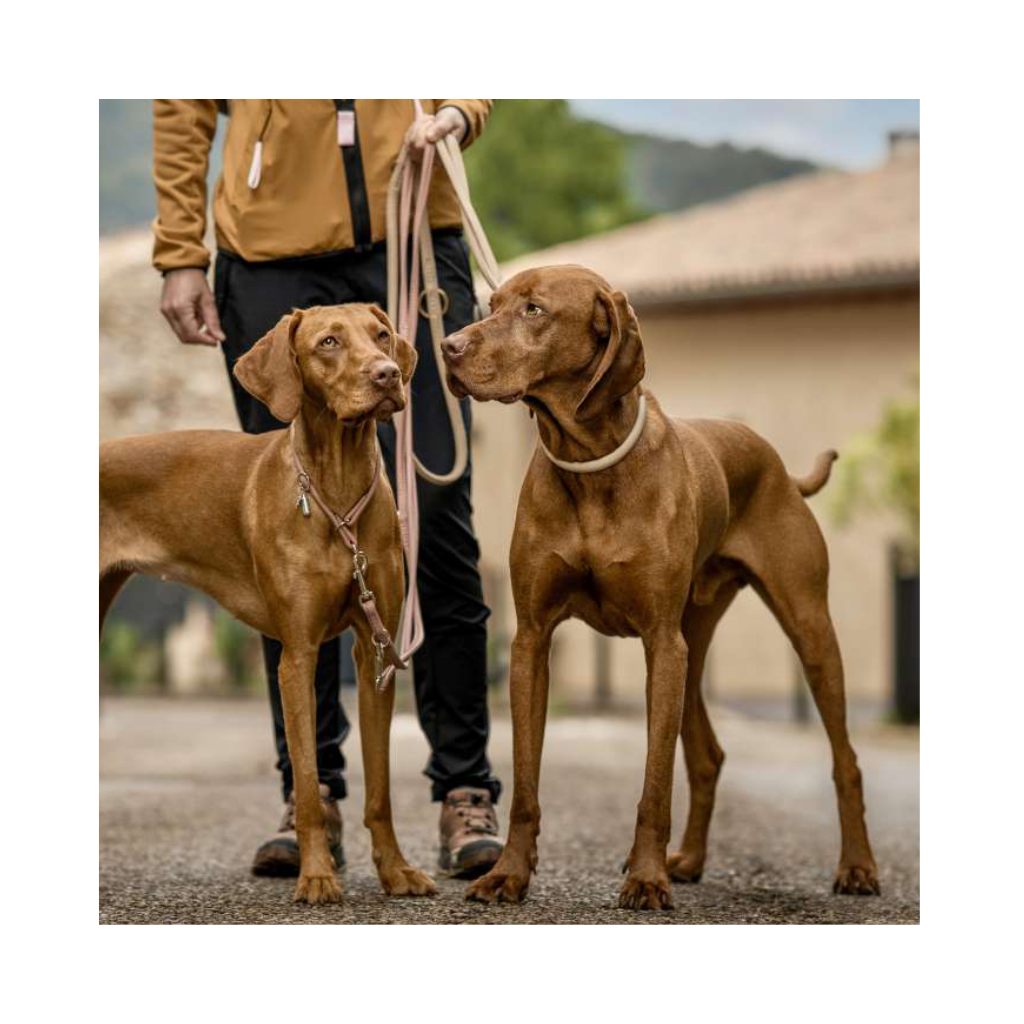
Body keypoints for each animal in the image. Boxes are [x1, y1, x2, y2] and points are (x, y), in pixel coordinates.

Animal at [102, 301, 436, 905]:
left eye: (381, 335)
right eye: (329, 342)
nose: (387, 374)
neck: (336, 490)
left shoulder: (375, 654)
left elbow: (379, 790)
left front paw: (396, 871)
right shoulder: (297, 656)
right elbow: (306, 782)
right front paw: (318, 875)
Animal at [442, 266, 880, 913]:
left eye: (534, 310)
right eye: (490, 304)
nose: (447, 347)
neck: (593, 464)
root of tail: (777, 463)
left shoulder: (659, 643)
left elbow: (654, 781)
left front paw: (646, 879)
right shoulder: (531, 642)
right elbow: (525, 781)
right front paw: (509, 875)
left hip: (805, 630)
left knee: (844, 758)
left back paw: (856, 867)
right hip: (694, 646)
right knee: (708, 756)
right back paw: (690, 860)